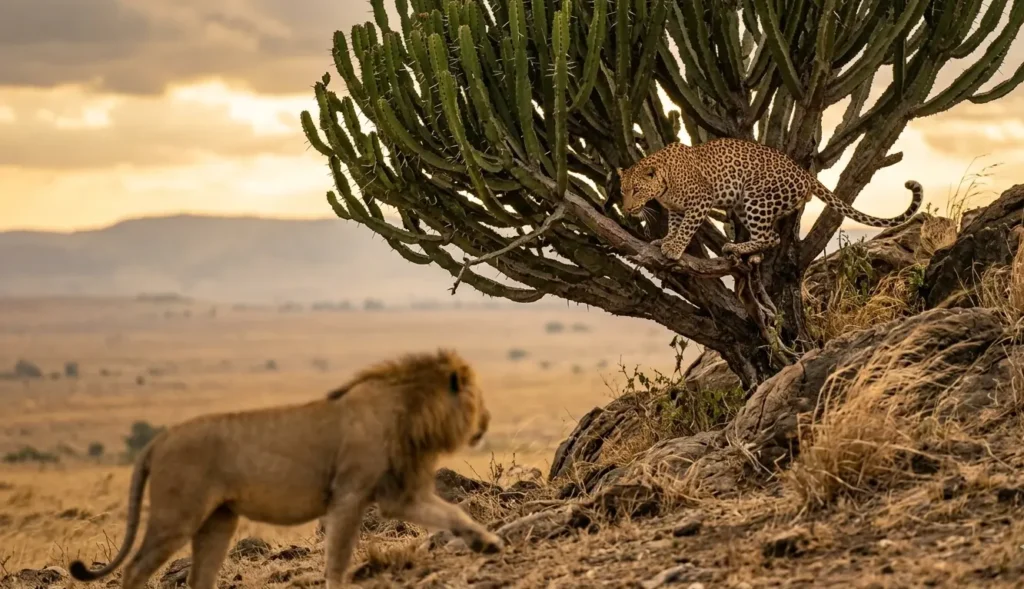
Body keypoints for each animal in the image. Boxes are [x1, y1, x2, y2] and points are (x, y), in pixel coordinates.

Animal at [69, 349, 503, 589]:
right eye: (478, 397)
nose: (487, 420)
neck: (411, 415)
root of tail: (159, 439)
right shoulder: (349, 495)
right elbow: (338, 558)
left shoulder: (400, 494)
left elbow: (452, 512)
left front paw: (488, 544)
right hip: (177, 514)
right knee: (135, 570)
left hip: (219, 519)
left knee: (199, 578)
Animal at [617, 138, 924, 263]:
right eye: (623, 190)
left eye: (637, 190)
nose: (627, 208)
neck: (664, 184)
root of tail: (804, 172)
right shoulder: (677, 208)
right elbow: (675, 225)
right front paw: (665, 241)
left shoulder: (700, 200)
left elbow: (687, 228)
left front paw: (674, 248)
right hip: (745, 204)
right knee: (772, 236)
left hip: (756, 198)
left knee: (768, 236)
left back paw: (737, 247)